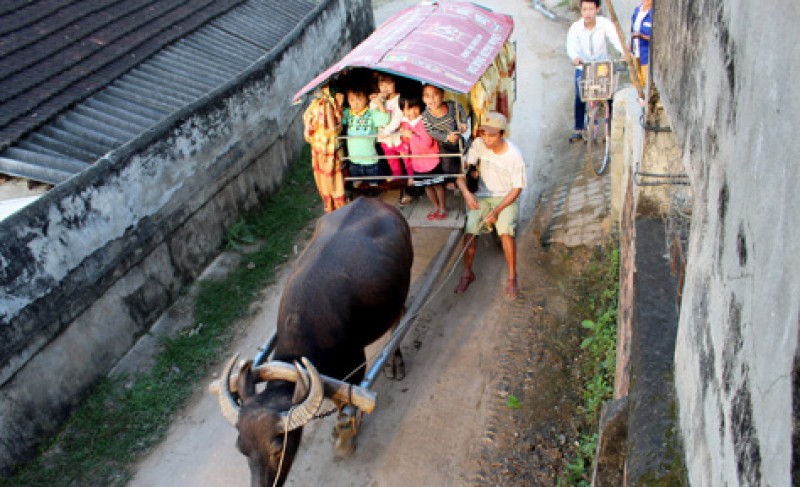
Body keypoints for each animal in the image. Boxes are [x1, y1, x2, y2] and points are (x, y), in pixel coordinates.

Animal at [212, 198, 412, 487]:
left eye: (278, 448)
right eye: (242, 448)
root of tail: (373, 201)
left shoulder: (356, 366)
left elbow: (345, 407)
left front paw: (344, 438)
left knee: (399, 319)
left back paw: (395, 361)